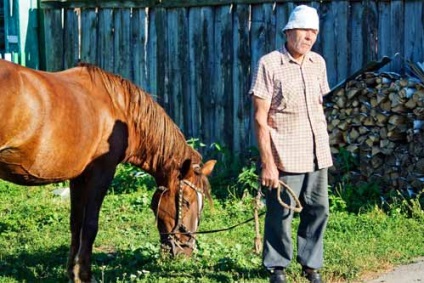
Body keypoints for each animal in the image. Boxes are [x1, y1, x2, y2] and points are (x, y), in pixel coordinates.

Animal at [0, 59, 215, 282]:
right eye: (186, 202)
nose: (186, 252)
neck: (120, 109)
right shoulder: (102, 173)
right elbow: (90, 225)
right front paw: (85, 275)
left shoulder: (78, 178)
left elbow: (76, 224)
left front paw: (73, 274)